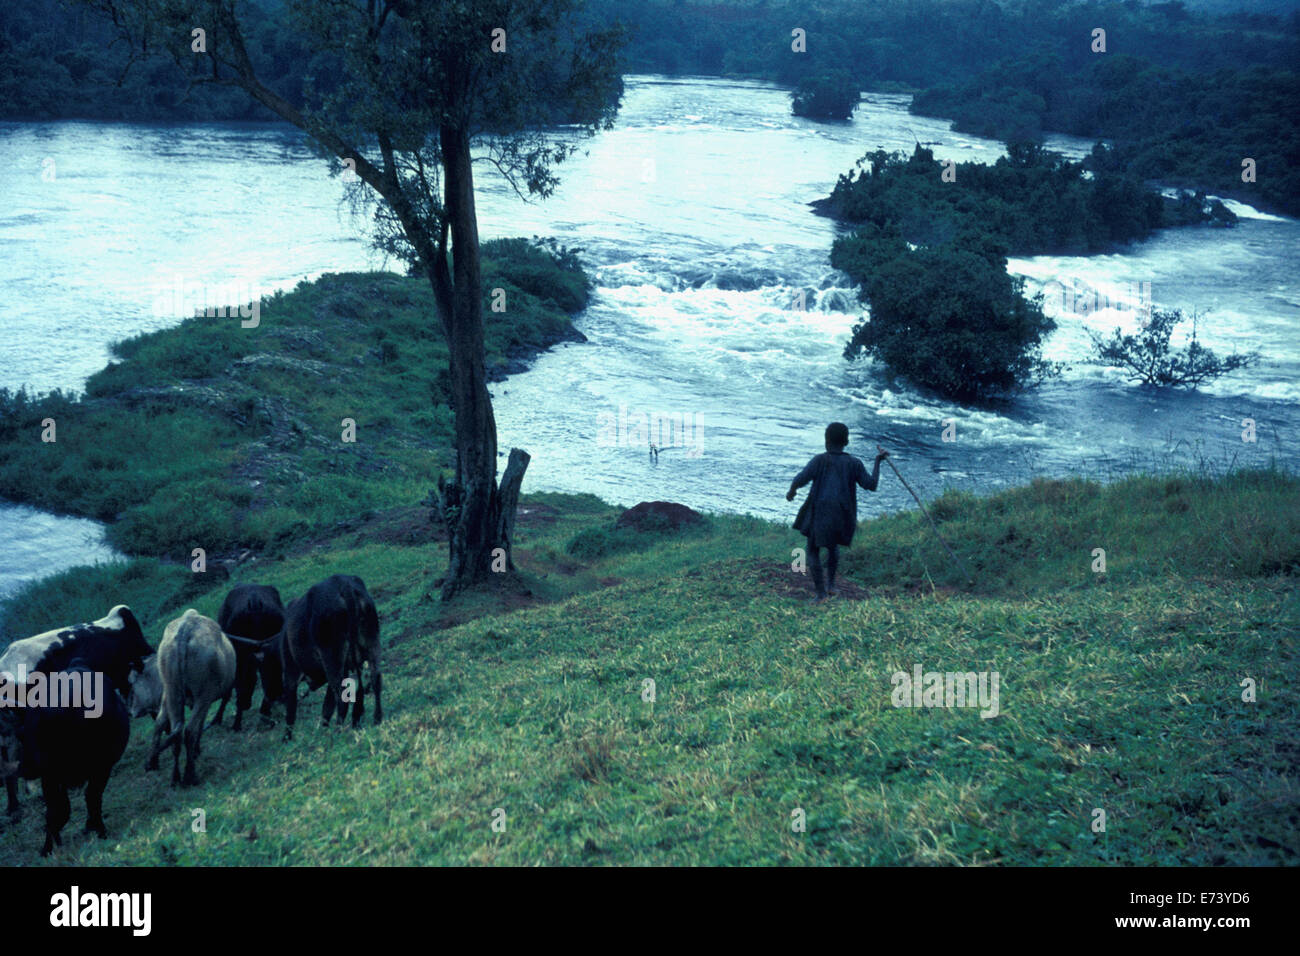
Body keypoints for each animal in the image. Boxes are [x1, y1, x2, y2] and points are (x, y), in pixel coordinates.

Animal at [283, 574, 379, 738]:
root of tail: (343, 584)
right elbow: (327, 705)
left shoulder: (291, 673)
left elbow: (291, 710)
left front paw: (287, 738)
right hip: (370, 646)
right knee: (375, 680)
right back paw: (374, 719)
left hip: (332, 660)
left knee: (342, 697)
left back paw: (338, 730)